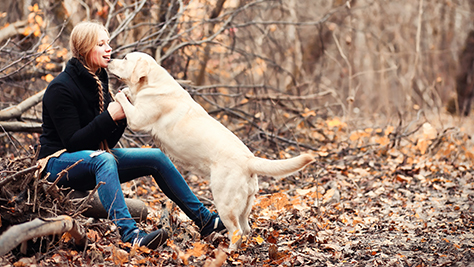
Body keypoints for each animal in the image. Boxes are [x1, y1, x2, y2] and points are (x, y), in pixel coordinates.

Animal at [109, 52, 312, 251]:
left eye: (125, 59)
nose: (109, 58)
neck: (152, 82)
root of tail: (249, 160)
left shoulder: (138, 119)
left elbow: (123, 101)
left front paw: (119, 94)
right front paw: (126, 91)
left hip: (225, 202)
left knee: (237, 231)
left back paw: (226, 252)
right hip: (244, 204)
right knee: (246, 228)